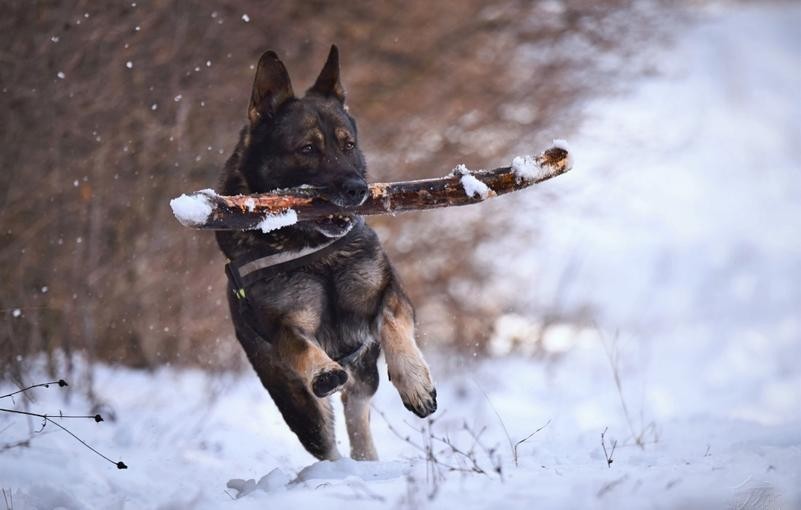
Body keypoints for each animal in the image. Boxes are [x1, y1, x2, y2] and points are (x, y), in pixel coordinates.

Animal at [216, 45, 434, 462]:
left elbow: (393, 325)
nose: (358, 189)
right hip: (297, 405)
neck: (314, 251)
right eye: (307, 149)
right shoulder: (283, 325)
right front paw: (322, 369)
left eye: (348, 145)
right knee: (327, 438)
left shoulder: (389, 292)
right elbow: (302, 346)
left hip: (364, 374)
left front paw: (415, 381)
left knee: (358, 412)